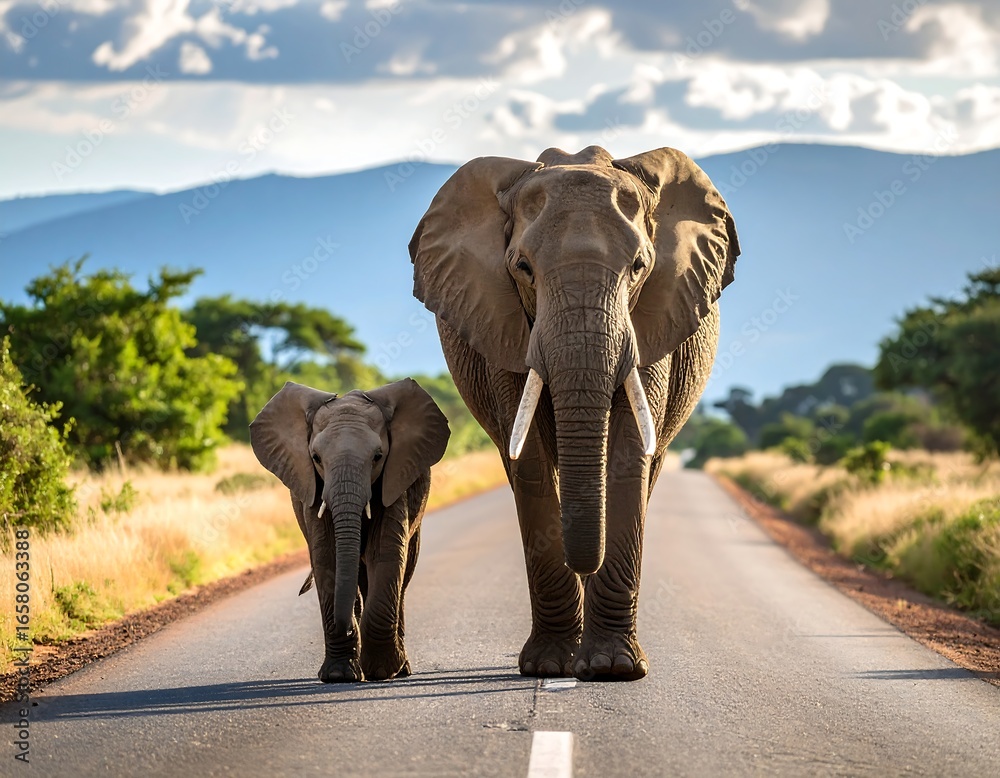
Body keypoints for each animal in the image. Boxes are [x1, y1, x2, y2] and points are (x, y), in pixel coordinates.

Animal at [249, 378, 450, 682]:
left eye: (378, 456)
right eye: (316, 458)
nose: (347, 626)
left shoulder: (394, 480)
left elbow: (386, 553)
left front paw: (381, 671)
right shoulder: (313, 490)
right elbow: (327, 557)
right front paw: (339, 675)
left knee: (404, 573)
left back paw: (401, 669)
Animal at [409, 145, 740, 681]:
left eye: (639, 266)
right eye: (522, 267)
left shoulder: (655, 318)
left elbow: (626, 456)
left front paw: (610, 667)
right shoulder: (504, 325)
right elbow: (531, 464)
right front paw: (550, 663)